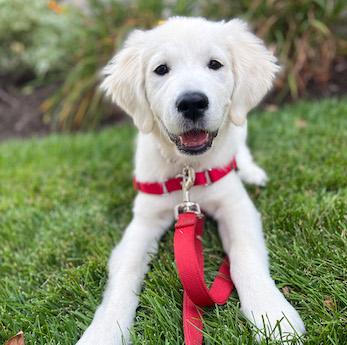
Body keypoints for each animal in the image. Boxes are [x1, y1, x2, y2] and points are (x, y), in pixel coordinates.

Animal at [77, 16, 306, 344]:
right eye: (161, 69)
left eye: (215, 64)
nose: (192, 103)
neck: (189, 169)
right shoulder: (144, 220)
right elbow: (125, 271)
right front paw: (104, 331)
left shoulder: (236, 207)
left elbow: (245, 255)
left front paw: (273, 315)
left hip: (240, 122)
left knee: (241, 147)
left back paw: (252, 172)